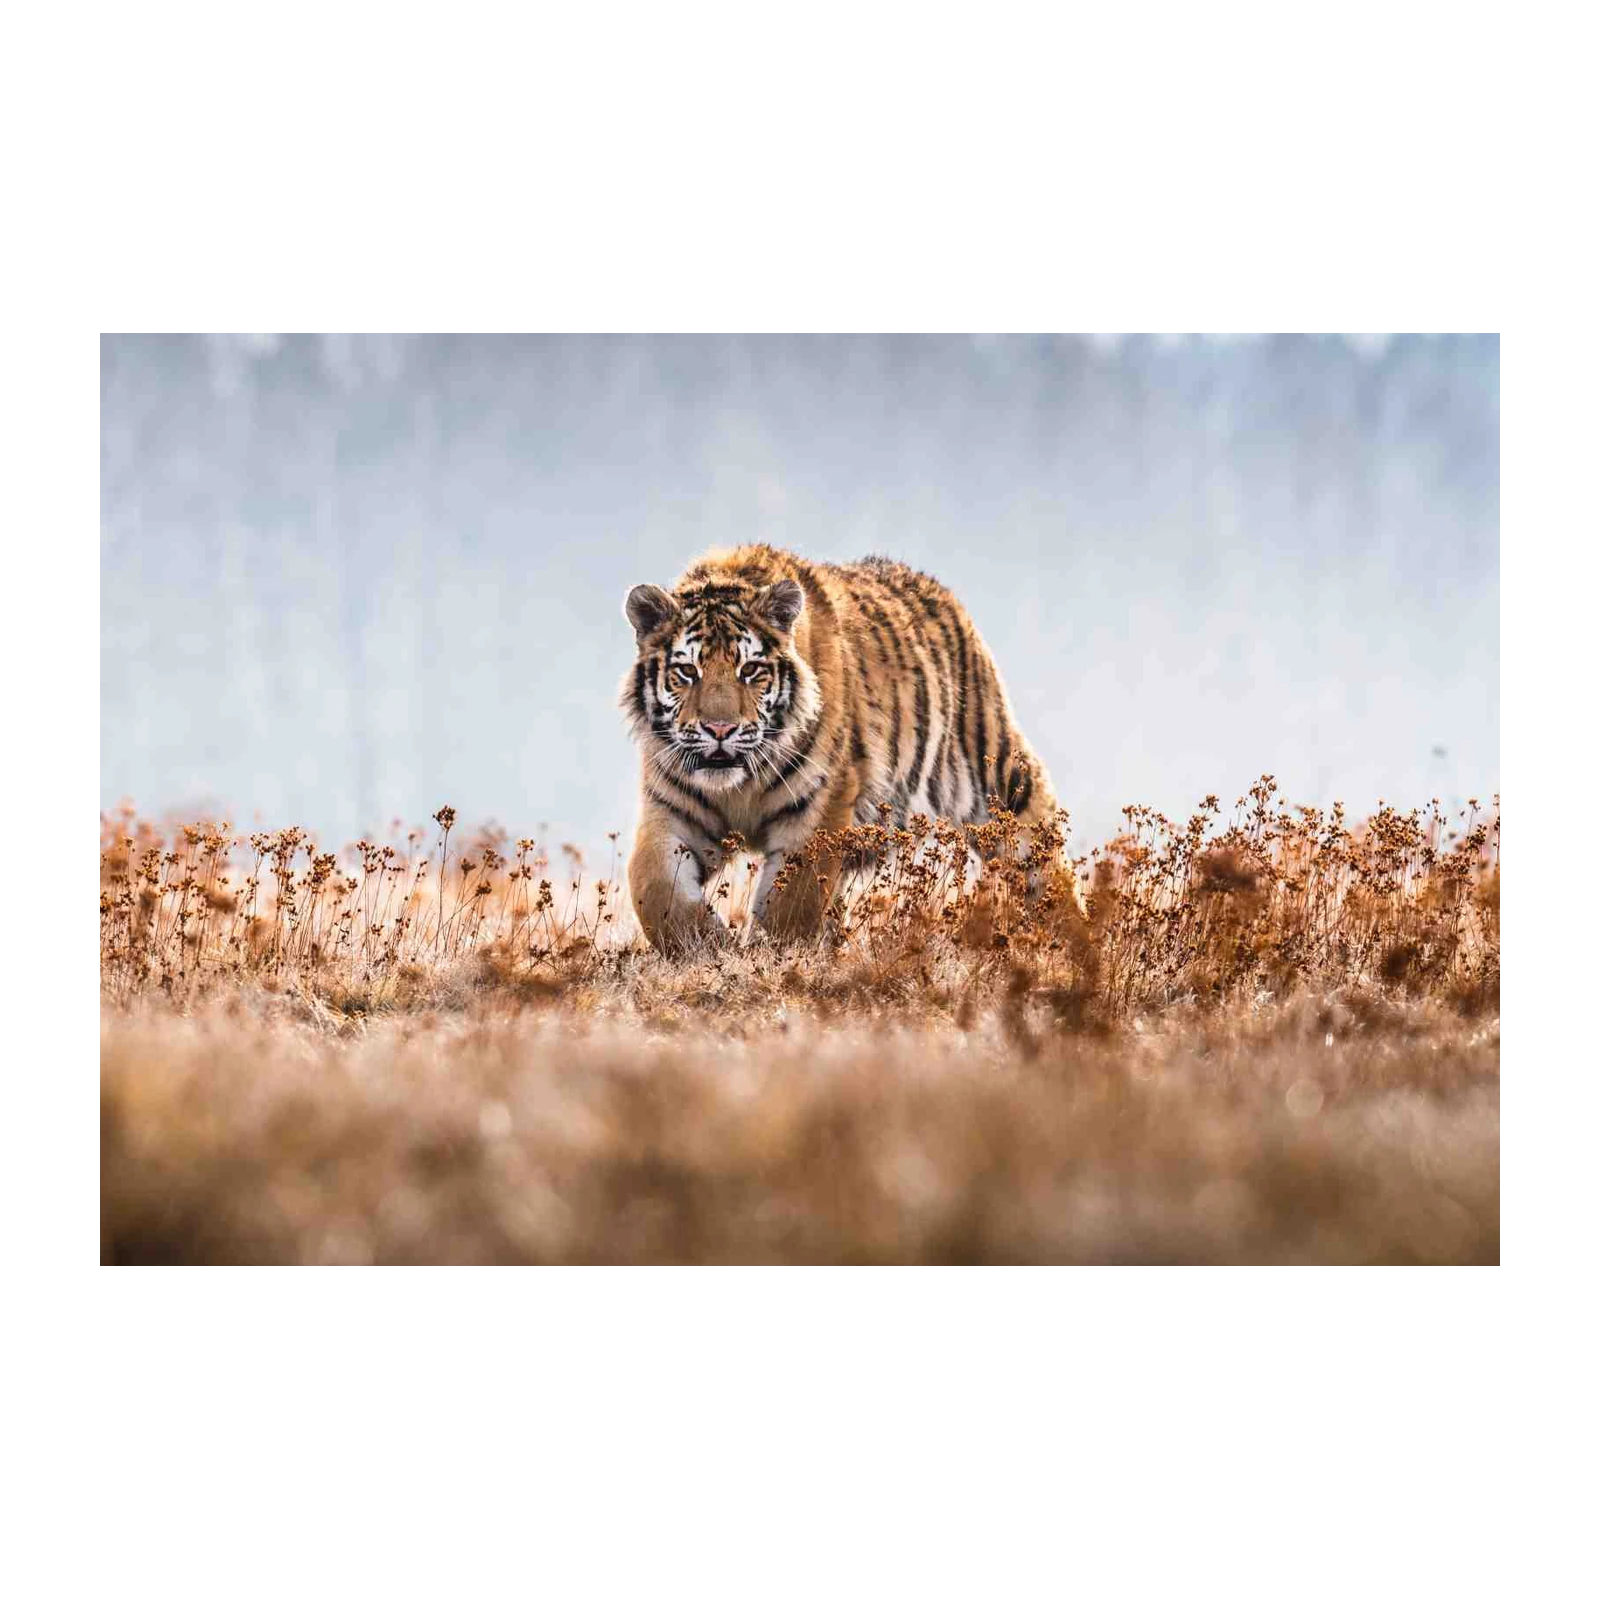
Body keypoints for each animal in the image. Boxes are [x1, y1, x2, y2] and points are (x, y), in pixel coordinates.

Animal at [619, 543, 1074, 951]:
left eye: (749, 670)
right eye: (686, 671)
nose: (719, 728)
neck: (739, 785)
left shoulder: (821, 802)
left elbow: (794, 898)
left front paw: (770, 952)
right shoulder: (670, 808)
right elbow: (651, 885)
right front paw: (704, 943)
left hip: (999, 777)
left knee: (1043, 853)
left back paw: (1072, 936)